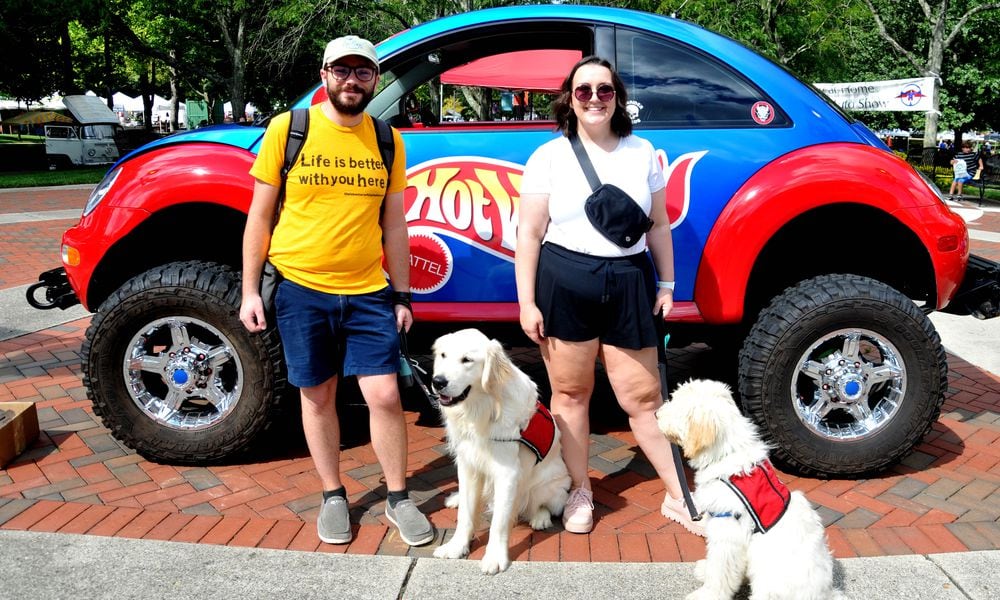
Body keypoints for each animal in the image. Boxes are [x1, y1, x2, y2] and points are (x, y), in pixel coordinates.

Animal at [430, 328, 572, 576]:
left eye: (467, 360)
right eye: (443, 355)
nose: (438, 382)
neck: (482, 408)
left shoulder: (507, 473)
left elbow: (498, 523)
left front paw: (495, 558)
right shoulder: (467, 464)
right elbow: (465, 514)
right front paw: (456, 546)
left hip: (552, 486)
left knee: (542, 504)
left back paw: (540, 518)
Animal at [656, 380, 844, 600]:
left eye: (675, 403)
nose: (656, 414)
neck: (729, 453)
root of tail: (825, 594)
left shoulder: (727, 530)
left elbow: (720, 570)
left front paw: (707, 594)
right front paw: (705, 571)